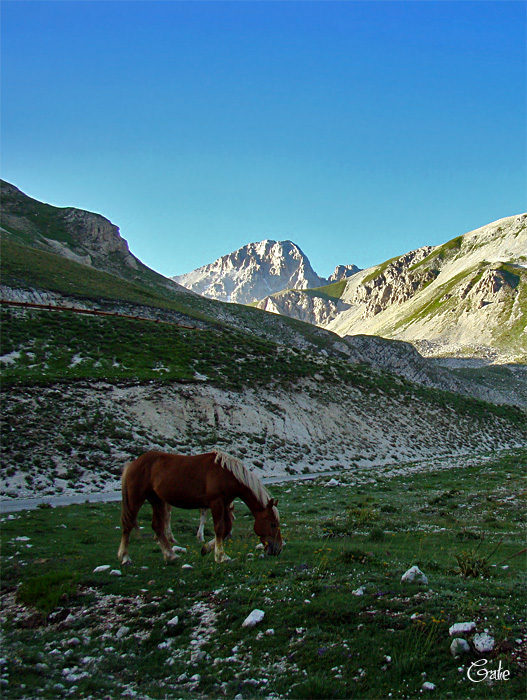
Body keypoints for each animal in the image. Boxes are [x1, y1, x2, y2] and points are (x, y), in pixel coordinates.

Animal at [117, 452, 282, 568]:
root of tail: (133, 463)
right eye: (273, 524)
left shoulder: (224, 504)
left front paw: (206, 548)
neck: (228, 474)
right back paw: (125, 558)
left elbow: (227, 528)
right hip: (136, 498)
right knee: (128, 525)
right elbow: (219, 528)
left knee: (157, 527)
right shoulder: (216, 503)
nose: (278, 549)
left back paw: (171, 555)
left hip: (157, 500)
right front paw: (221, 557)